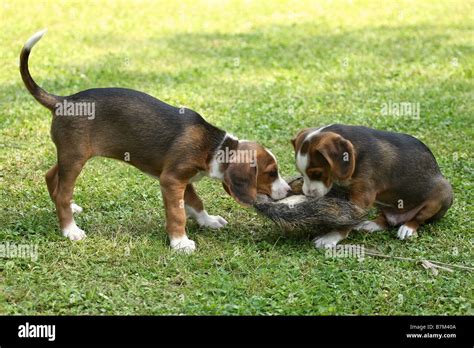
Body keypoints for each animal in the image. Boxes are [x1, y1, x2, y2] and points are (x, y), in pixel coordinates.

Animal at [20, 29, 290, 253]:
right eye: (271, 173)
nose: (288, 190)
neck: (214, 147)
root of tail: (63, 100)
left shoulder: (183, 180)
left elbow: (196, 203)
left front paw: (208, 221)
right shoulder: (171, 180)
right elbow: (178, 214)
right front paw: (180, 242)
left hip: (70, 154)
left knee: (51, 176)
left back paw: (70, 207)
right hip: (75, 157)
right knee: (62, 192)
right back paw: (70, 229)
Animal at [292, 123, 452, 249]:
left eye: (317, 173)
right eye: (300, 172)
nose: (308, 195)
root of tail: (399, 218)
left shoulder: (362, 197)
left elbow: (347, 220)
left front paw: (332, 237)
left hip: (443, 193)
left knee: (418, 219)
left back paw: (407, 228)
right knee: (386, 221)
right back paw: (369, 224)